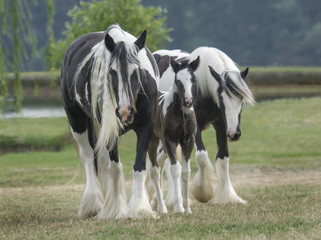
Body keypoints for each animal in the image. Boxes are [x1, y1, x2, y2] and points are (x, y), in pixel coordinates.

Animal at [60, 24, 159, 219]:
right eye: (112, 72)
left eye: (136, 71)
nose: (125, 111)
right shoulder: (111, 130)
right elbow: (115, 167)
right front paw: (116, 209)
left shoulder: (146, 126)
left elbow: (139, 166)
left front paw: (140, 208)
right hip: (77, 122)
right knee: (88, 156)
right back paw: (93, 204)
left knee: (102, 159)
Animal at [147, 55, 198, 214]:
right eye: (177, 80)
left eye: (193, 79)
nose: (188, 101)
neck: (181, 114)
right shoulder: (170, 141)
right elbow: (175, 170)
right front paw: (178, 207)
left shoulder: (188, 141)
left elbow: (186, 172)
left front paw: (187, 208)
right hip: (153, 140)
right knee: (154, 170)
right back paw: (162, 208)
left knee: (159, 164)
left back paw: (157, 204)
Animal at [153, 46, 255, 204]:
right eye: (221, 97)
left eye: (241, 99)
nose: (234, 134)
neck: (203, 90)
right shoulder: (196, 129)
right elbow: (201, 156)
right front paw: (203, 192)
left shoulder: (221, 125)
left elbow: (223, 157)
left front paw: (227, 196)